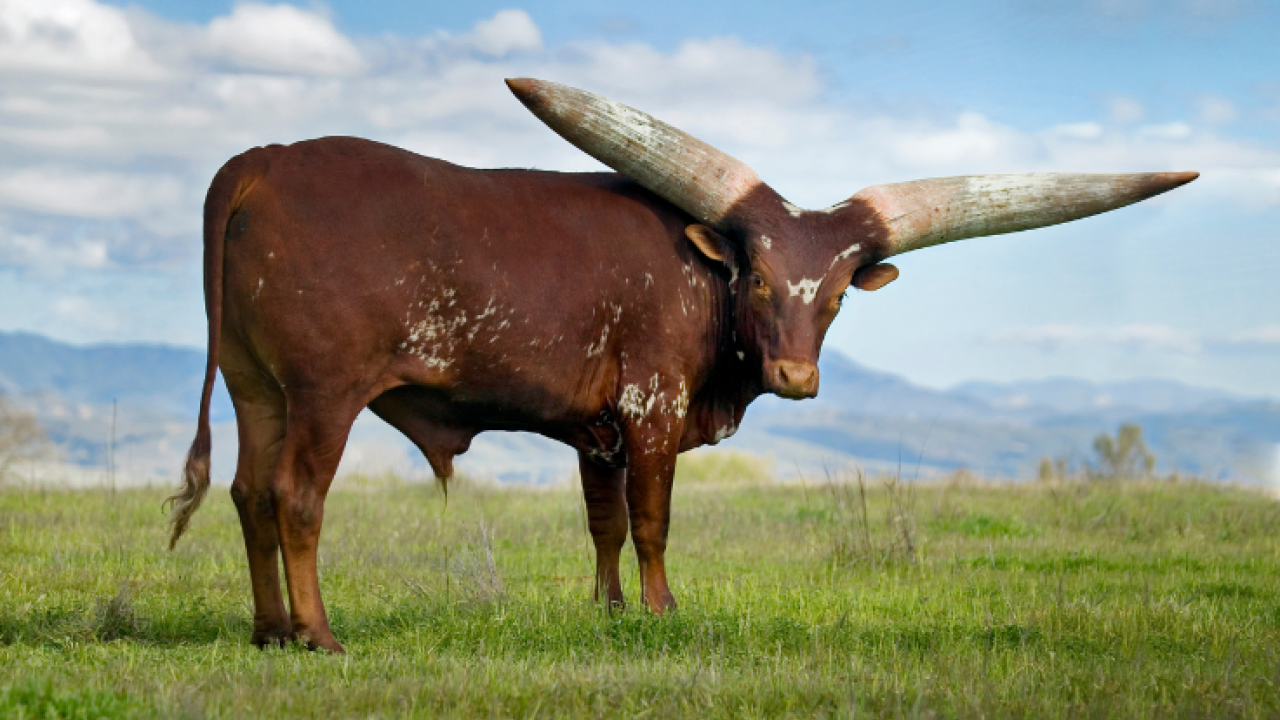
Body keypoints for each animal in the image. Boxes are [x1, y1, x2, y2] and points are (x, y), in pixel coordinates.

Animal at [165, 78, 1196, 652]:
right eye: (760, 275)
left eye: (835, 295)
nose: (797, 380)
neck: (704, 283)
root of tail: (261, 161)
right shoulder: (650, 409)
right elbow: (655, 522)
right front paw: (660, 612)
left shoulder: (594, 431)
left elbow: (604, 525)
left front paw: (610, 612)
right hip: (323, 393)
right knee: (296, 498)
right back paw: (320, 636)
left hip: (257, 389)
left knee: (249, 494)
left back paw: (267, 633)